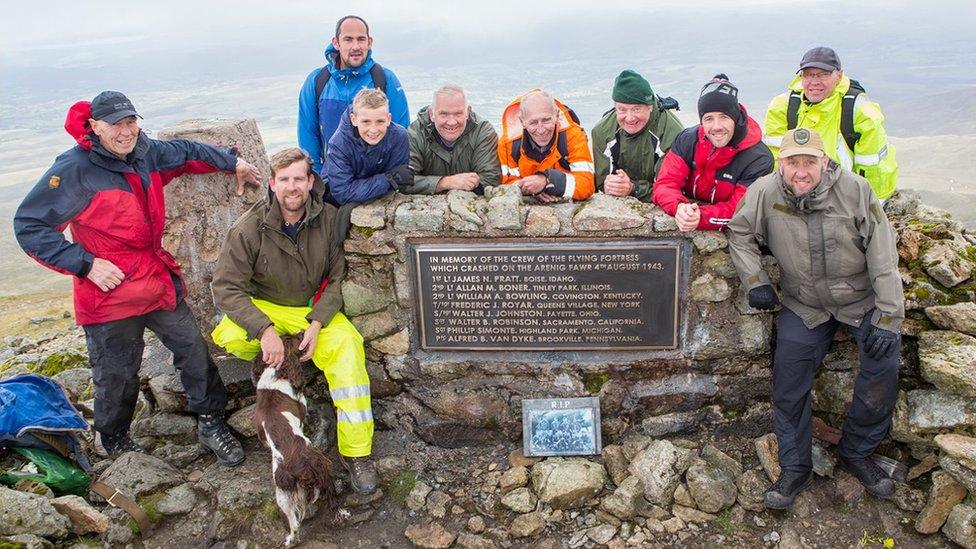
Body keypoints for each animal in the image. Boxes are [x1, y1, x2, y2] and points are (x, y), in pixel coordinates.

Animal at [252, 334, 346, 544]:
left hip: (282, 494)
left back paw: (289, 541)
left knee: (294, 523)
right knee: (327, 495)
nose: (304, 331)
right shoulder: (302, 407)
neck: (278, 372)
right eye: (297, 339)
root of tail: (297, 467)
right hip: (322, 465)